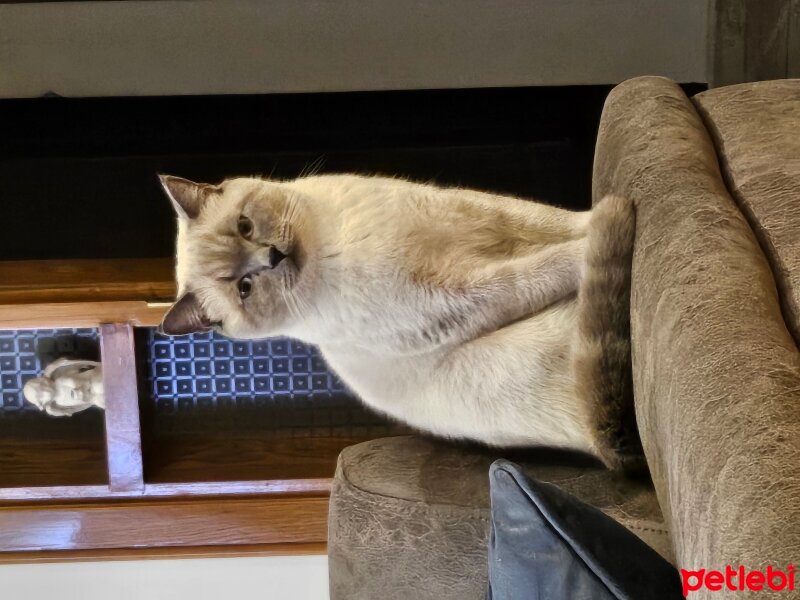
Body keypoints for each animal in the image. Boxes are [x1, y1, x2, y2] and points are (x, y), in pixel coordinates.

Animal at [156, 173, 636, 468]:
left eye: (245, 226)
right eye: (244, 288)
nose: (273, 256)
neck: (334, 244)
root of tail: (600, 439)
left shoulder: (484, 213)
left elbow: (564, 221)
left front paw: (612, 211)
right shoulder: (458, 295)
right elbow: (545, 266)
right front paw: (599, 239)